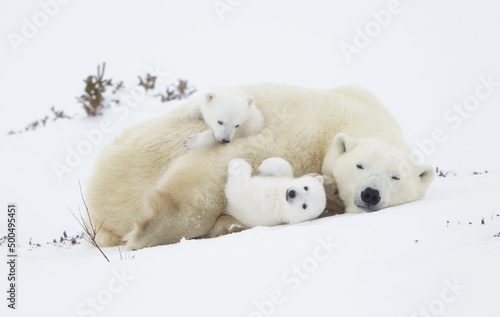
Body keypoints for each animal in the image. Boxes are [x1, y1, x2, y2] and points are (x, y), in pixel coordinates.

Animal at [85, 82, 434, 249]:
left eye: (395, 177)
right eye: (360, 166)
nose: (371, 194)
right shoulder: (301, 130)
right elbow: (218, 169)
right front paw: (146, 235)